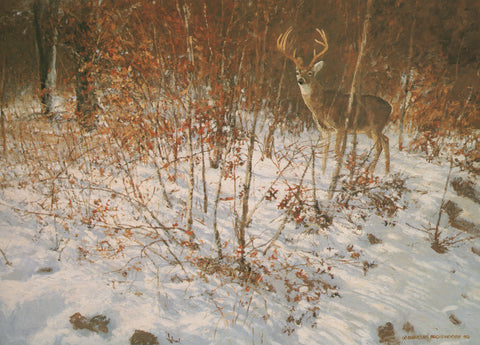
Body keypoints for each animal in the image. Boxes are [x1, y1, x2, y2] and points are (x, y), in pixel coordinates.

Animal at [278, 26, 390, 175]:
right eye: (297, 72)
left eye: (310, 73)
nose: (300, 81)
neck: (321, 104)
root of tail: (390, 107)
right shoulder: (325, 130)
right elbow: (324, 152)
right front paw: (323, 173)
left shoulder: (340, 126)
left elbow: (337, 151)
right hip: (369, 129)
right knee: (386, 140)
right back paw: (386, 172)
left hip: (375, 126)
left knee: (379, 146)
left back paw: (370, 172)